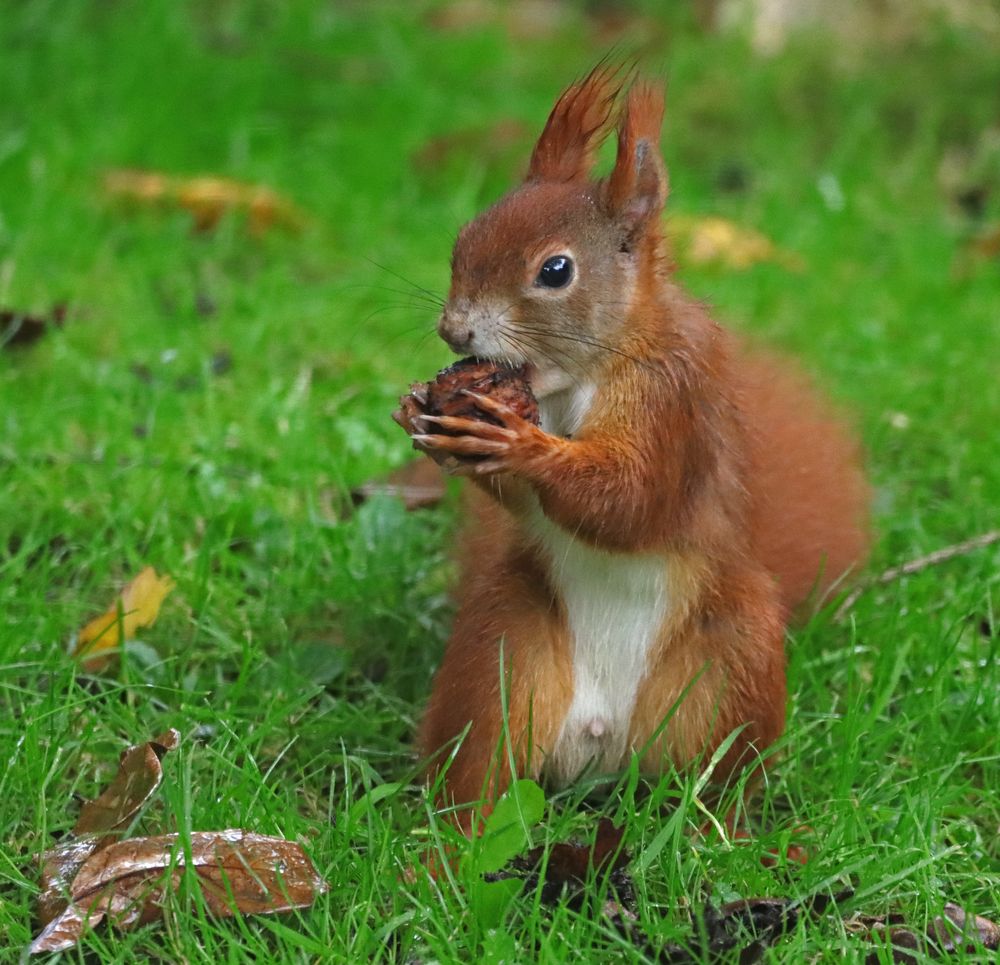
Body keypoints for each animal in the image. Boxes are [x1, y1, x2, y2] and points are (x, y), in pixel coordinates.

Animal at [390, 66, 868, 820]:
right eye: (463, 238)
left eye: (555, 271)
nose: (454, 331)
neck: (573, 381)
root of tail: (605, 745)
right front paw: (423, 412)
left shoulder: (671, 400)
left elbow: (633, 500)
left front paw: (524, 445)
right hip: (503, 651)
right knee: (483, 763)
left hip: (733, 659)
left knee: (717, 779)